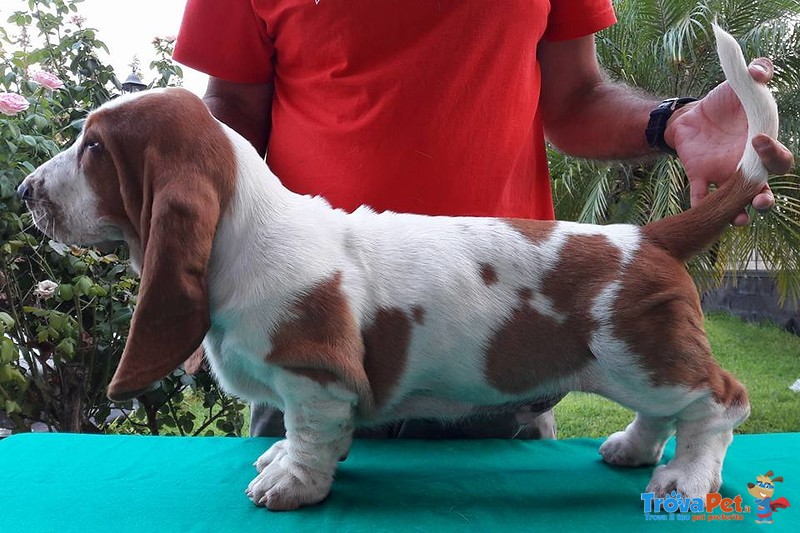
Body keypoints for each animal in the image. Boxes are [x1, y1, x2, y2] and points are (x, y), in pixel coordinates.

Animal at [17, 27, 780, 510]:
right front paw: (280, 463)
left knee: (722, 401)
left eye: (94, 149)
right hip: (636, 365)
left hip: (643, 357)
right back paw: (633, 448)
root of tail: (647, 236)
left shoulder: (315, 379)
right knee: (666, 412)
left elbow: (309, 436)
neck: (244, 227)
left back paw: (685, 478)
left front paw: (289, 485)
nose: (24, 192)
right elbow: (300, 436)